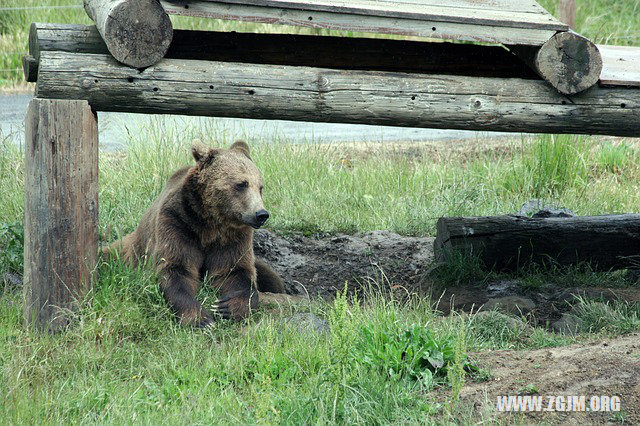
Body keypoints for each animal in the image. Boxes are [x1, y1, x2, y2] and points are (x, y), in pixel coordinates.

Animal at [104, 140, 284, 326]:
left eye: (260, 187)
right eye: (241, 184)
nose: (261, 214)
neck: (209, 226)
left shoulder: (233, 236)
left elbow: (235, 271)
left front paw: (226, 308)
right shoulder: (177, 225)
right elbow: (176, 269)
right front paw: (201, 319)